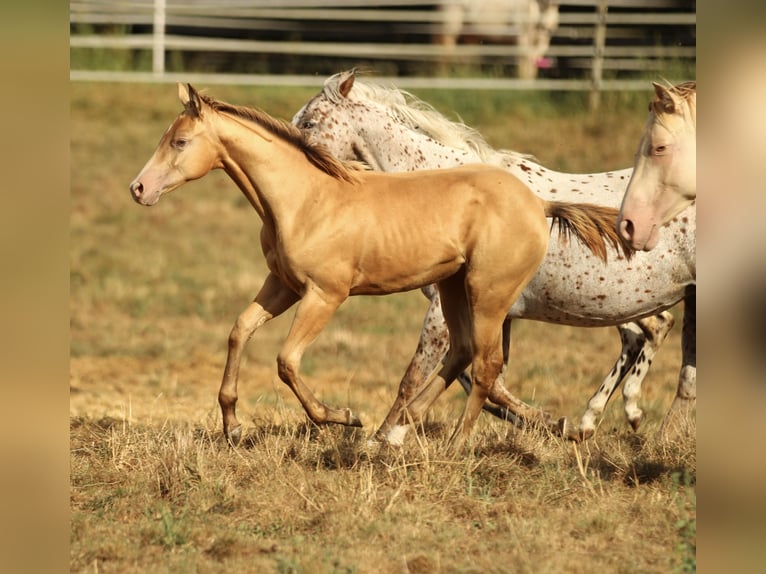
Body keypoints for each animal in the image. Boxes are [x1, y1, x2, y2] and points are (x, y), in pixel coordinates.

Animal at [129, 83, 628, 448]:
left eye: (180, 141)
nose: (138, 189)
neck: (305, 198)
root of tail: (539, 204)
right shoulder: (282, 284)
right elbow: (239, 330)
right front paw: (233, 425)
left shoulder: (325, 295)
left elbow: (287, 361)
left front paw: (342, 417)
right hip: (454, 289)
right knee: (462, 355)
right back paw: (400, 431)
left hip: (488, 295)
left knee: (486, 366)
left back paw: (452, 446)